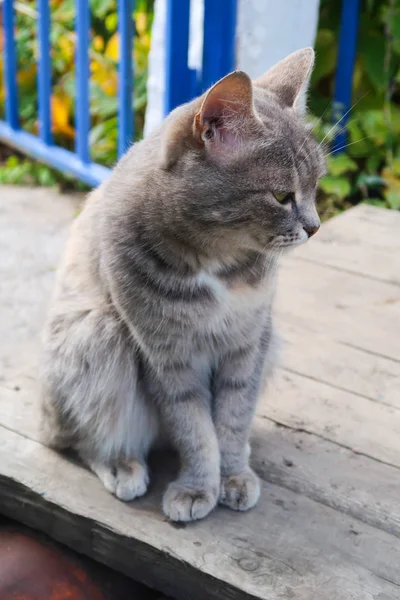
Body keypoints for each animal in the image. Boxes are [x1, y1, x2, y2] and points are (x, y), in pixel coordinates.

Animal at [41, 49, 324, 524]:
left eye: (316, 187)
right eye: (282, 196)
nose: (316, 227)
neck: (217, 264)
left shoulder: (249, 344)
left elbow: (231, 421)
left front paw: (232, 475)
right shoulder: (166, 353)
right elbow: (194, 428)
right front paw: (197, 488)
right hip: (96, 333)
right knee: (76, 436)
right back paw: (119, 463)